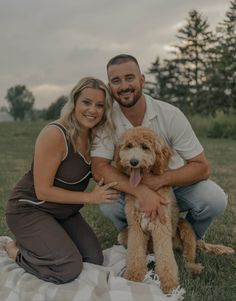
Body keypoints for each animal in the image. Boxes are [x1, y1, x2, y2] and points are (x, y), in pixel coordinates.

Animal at [115, 126, 234, 292]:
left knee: (186, 257)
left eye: (145, 147)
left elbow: (165, 258)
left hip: (186, 229)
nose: (133, 162)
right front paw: (133, 277)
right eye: (128, 146)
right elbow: (135, 253)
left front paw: (170, 284)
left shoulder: (161, 225)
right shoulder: (135, 226)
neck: (144, 189)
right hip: (123, 234)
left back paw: (194, 268)